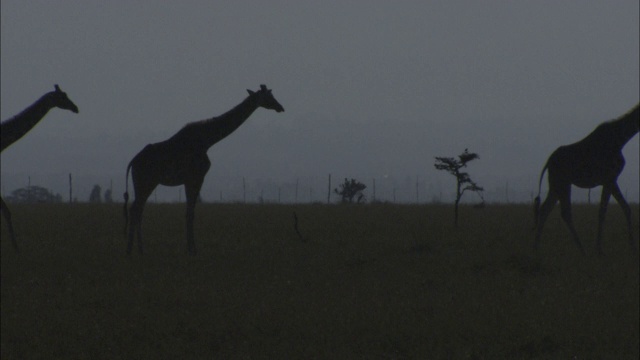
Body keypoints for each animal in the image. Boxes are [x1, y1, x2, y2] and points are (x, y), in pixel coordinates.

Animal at [0, 85, 79, 252]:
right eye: (62, 97)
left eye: (66, 94)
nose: (76, 108)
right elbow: (6, 211)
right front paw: (16, 248)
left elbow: (6, 211)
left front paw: (15, 247)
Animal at [124, 83, 284, 256]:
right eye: (269, 96)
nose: (280, 107)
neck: (208, 140)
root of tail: (133, 162)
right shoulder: (197, 177)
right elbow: (190, 213)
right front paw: (192, 250)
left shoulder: (190, 179)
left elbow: (189, 212)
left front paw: (191, 248)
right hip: (147, 182)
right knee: (136, 209)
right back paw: (133, 250)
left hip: (143, 183)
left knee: (137, 210)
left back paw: (137, 250)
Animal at [536, 102, 640, 255]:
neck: (620, 139)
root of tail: (548, 162)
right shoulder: (609, 178)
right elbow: (602, 211)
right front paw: (599, 249)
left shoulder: (611, 179)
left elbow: (626, 208)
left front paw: (632, 247)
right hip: (562, 182)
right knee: (564, 212)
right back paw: (582, 250)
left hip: (556, 184)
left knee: (545, 209)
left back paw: (535, 248)